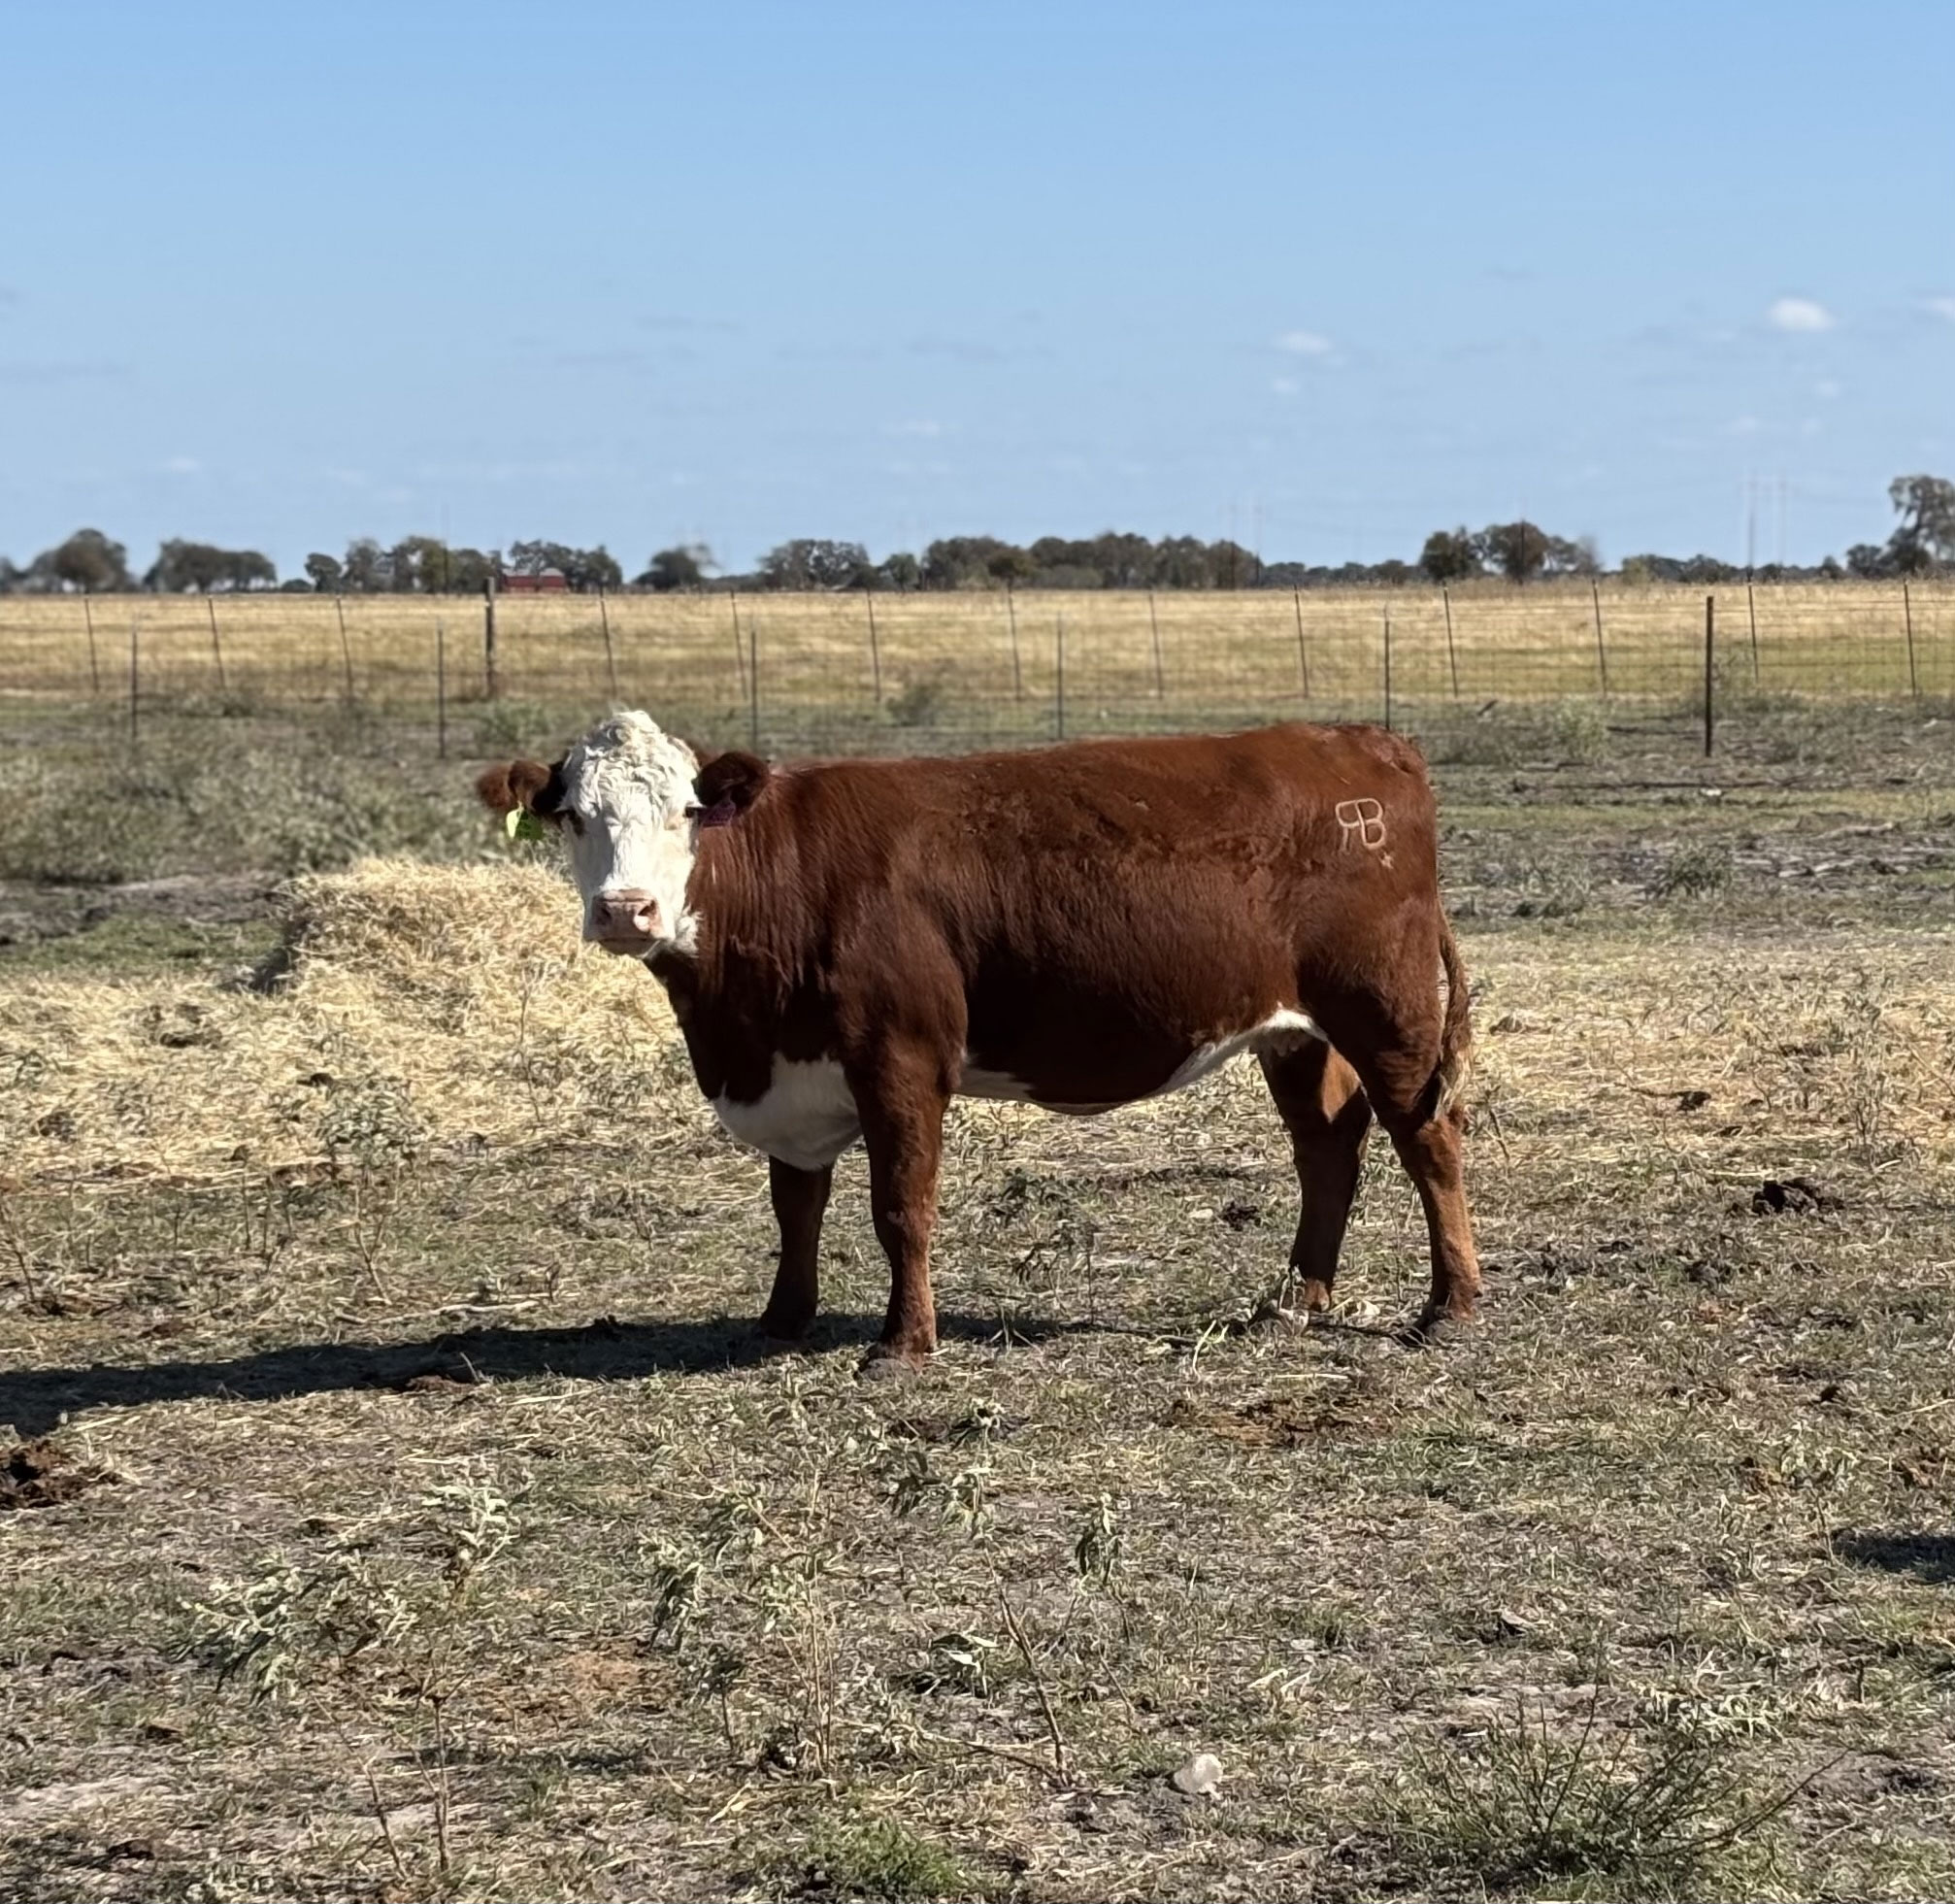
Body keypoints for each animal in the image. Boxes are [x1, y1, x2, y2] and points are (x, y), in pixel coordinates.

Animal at [476, 711, 1479, 1379]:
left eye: (685, 813)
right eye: (573, 816)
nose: (625, 911)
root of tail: (1360, 739)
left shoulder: (902, 1059)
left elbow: (899, 1208)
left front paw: (901, 1345)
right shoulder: (792, 1077)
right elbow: (795, 1205)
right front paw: (782, 1317)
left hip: (1386, 1010)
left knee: (1427, 1139)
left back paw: (1450, 1305)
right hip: (1295, 1031)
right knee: (1327, 1149)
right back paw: (1295, 1301)